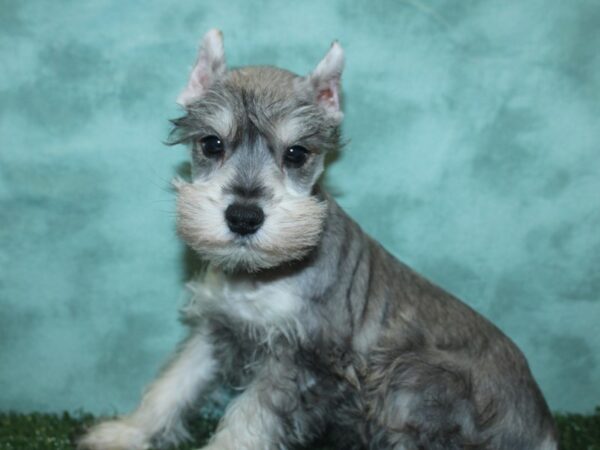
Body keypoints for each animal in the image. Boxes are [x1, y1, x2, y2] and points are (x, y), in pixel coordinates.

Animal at [78, 29, 556, 450]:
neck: (260, 276)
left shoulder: (298, 361)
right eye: (211, 144)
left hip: (412, 376)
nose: (244, 217)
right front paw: (124, 434)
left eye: (297, 153)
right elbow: (173, 385)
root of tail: (544, 430)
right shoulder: (215, 329)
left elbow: (249, 421)